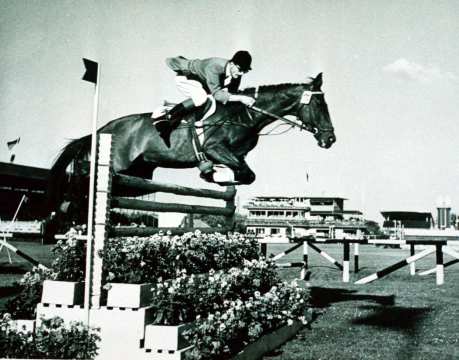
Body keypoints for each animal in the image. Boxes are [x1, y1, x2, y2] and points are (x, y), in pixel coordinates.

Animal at [46, 73, 336, 224]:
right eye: (320, 105)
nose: (330, 140)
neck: (245, 114)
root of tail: (104, 128)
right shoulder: (215, 147)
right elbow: (242, 173)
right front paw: (213, 174)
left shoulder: (237, 155)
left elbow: (246, 175)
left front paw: (219, 178)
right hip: (119, 164)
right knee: (87, 175)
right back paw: (64, 205)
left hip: (138, 174)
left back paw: (68, 207)